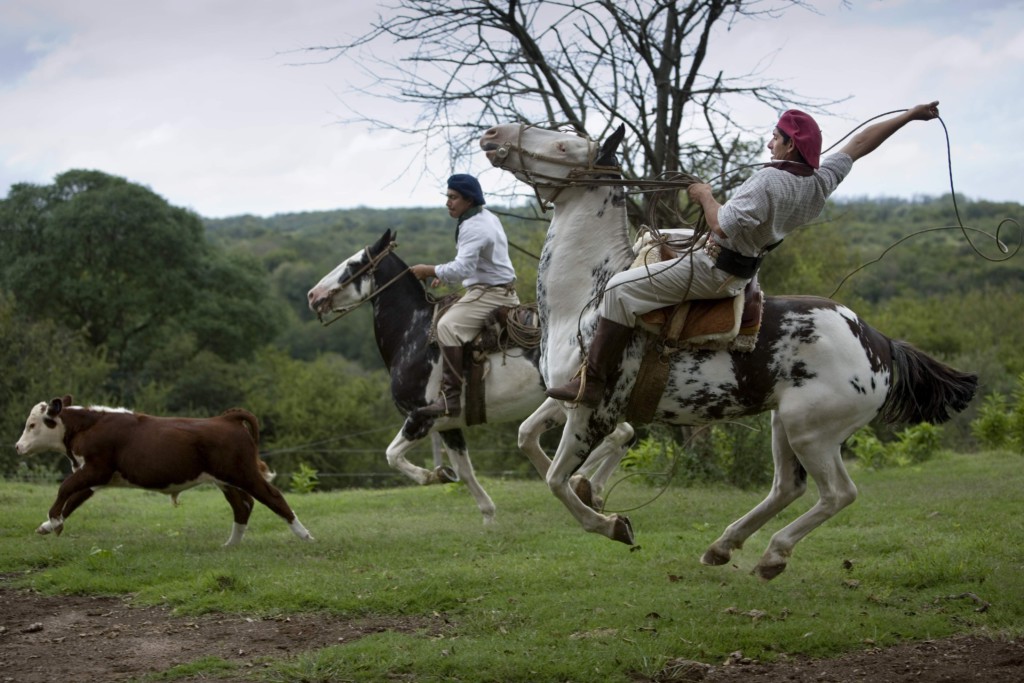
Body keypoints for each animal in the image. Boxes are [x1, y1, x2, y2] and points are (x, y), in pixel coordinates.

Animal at [14, 395, 311, 544]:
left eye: (32, 424)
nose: (18, 447)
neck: (89, 426)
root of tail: (225, 419)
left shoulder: (96, 469)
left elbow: (65, 488)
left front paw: (53, 521)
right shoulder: (95, 476)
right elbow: (73, 499)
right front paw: (48, 526)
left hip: (244, 473)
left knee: (273, 498)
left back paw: (305, 536)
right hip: (226, 479)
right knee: (243, 506)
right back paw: (231, 545)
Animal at [479, 122, 974, 577]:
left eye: (565, 144)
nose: (493, 134)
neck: (587, 297)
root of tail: (879, 343)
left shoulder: (591, 411)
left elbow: (556, 480)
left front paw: (611, 521)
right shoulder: (568, 398)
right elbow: (529, 437)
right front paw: (593, 490)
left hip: (812, 433)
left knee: (837, 493)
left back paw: (772, 554)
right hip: (784, 423)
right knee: (787, 488)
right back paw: (723, 546)